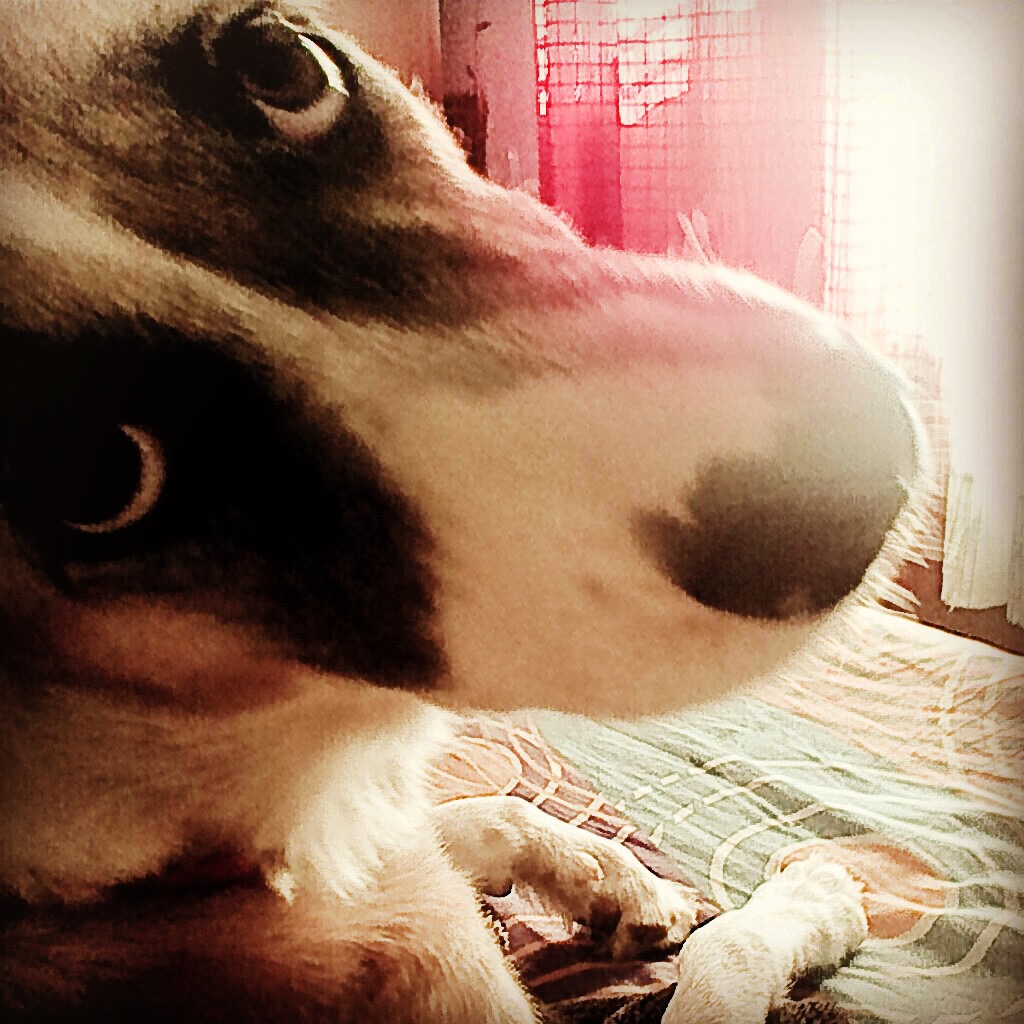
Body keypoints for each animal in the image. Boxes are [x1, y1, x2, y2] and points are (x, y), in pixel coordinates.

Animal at [0, 2, 922, 1020]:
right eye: (95, 470)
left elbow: (478, 813)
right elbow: (726, 952)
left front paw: (610, 876)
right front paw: (808, 900)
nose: (850, 469)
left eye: (282, 65)